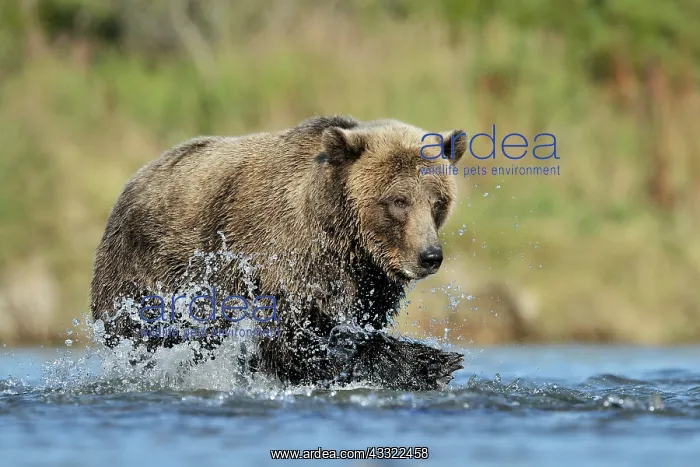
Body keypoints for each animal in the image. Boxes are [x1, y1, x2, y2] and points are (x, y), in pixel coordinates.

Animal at [90, 115, 467, 391]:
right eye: (398, 201)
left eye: (438, 201)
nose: (430, 256)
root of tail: (136, 177)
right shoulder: (281, 258)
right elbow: (293, 343)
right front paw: (432, 363)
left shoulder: (369, 284)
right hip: (147, 269)